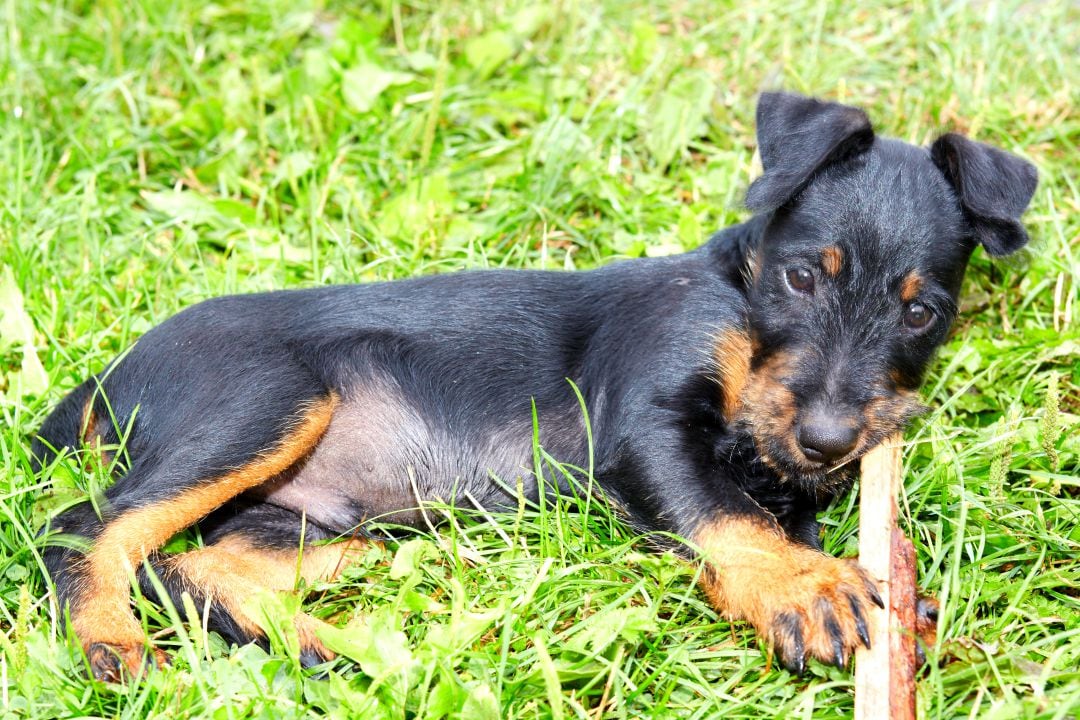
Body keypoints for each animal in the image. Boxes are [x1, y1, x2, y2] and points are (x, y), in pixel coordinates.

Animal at [31, 92, 1036, 686]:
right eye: (800, 278)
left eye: (922, 313)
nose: (829, 442)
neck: (735, 291)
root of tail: (109, 378)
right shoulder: (644, 423)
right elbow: (727, 512)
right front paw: (802, 589)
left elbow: (767, 516)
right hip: (268, 404)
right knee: (87, 527)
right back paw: (108, 637)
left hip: (316, 519)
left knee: (190, 564)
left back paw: (322, 645)